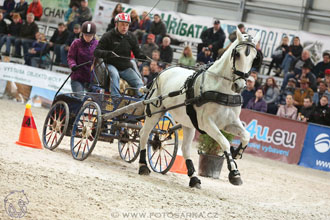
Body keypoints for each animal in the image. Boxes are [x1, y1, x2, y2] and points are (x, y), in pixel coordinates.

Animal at [137, 28, 260, 188]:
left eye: (254, 57)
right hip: (154, 112)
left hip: (188, 123)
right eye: (237, 54)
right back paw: (143, 166)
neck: (221, 87)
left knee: (185, 149)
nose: (239, 86)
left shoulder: (229, 122)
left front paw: (237, 153)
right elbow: (224, 142)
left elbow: (246, 136)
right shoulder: (207, 124)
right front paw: (234, 173)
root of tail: (163, 71)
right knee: (144, 134)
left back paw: (194, 178)